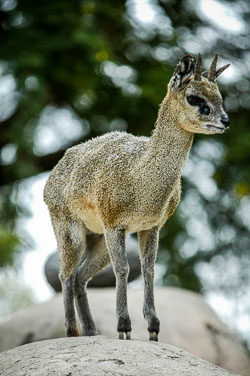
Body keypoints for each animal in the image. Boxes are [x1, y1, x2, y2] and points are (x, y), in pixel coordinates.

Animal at [43, 54, 229, 342]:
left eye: (220, 96)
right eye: (194, 97)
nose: (225, 121)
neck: (140, 178)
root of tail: (53, 175)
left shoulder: (150, 227)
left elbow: (148, 269)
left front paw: (153, 328)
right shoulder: (114, 225)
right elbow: (123, 269)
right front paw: (124, 327)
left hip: (97, 238)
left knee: (81, 277)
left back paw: (91, 331)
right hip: (69, 229)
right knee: (66, 274)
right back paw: (72, 332)